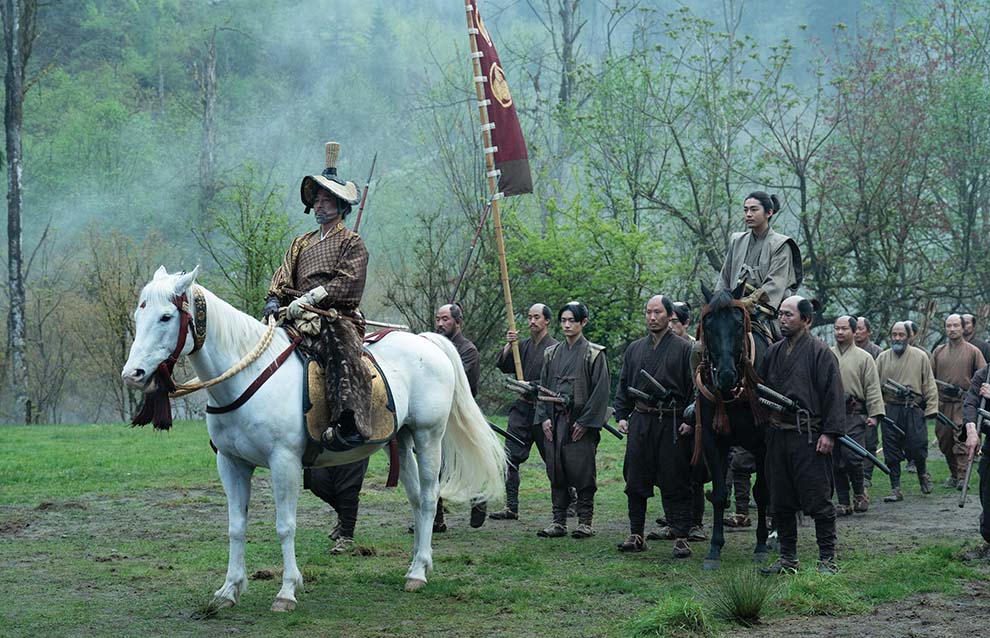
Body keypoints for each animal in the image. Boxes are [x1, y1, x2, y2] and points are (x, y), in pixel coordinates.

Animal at [121, 268, 508, 612]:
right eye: (139, 315)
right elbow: (235, 527)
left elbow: (285, 526)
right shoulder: (231, 464)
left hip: (429, 436)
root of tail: (427, 341)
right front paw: (229, 590)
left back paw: (418, 573)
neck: (247, 375)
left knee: (428, 498)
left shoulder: (284, 462)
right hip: (402, 439)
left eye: (167, 316)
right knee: (415, 499)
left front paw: (287, 591)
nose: (133, 374)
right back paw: (416, 565)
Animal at [688, 282, 776, 572]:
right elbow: (718, 493)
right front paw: (714, 549)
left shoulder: (762, 443)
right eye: (708, 325)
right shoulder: (712, 439)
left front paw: (760, 546)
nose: (725, 375)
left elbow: (762, 492)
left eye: (738, 324)